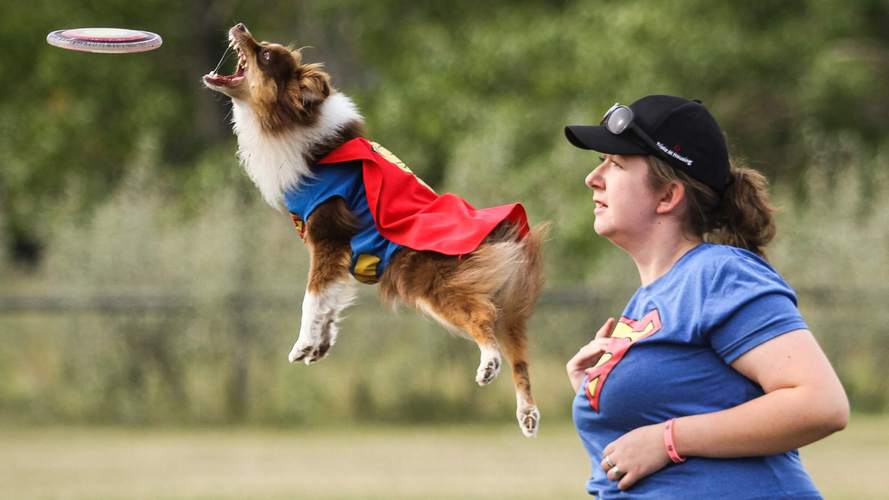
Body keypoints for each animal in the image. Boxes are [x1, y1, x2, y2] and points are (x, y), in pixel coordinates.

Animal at [204, 24, 544, 438]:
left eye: (266, 56)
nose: (239, 27)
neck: (299, 128)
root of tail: (503, 230)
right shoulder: (342, 252)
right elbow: (330, 302)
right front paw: (320, 346)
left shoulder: (328, 237)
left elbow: (312, 298)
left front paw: (302, 344)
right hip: (508, 304)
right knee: (520, 357)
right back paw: (527, 415)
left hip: (437, 287)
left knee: (483, 321)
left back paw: (488, 365)